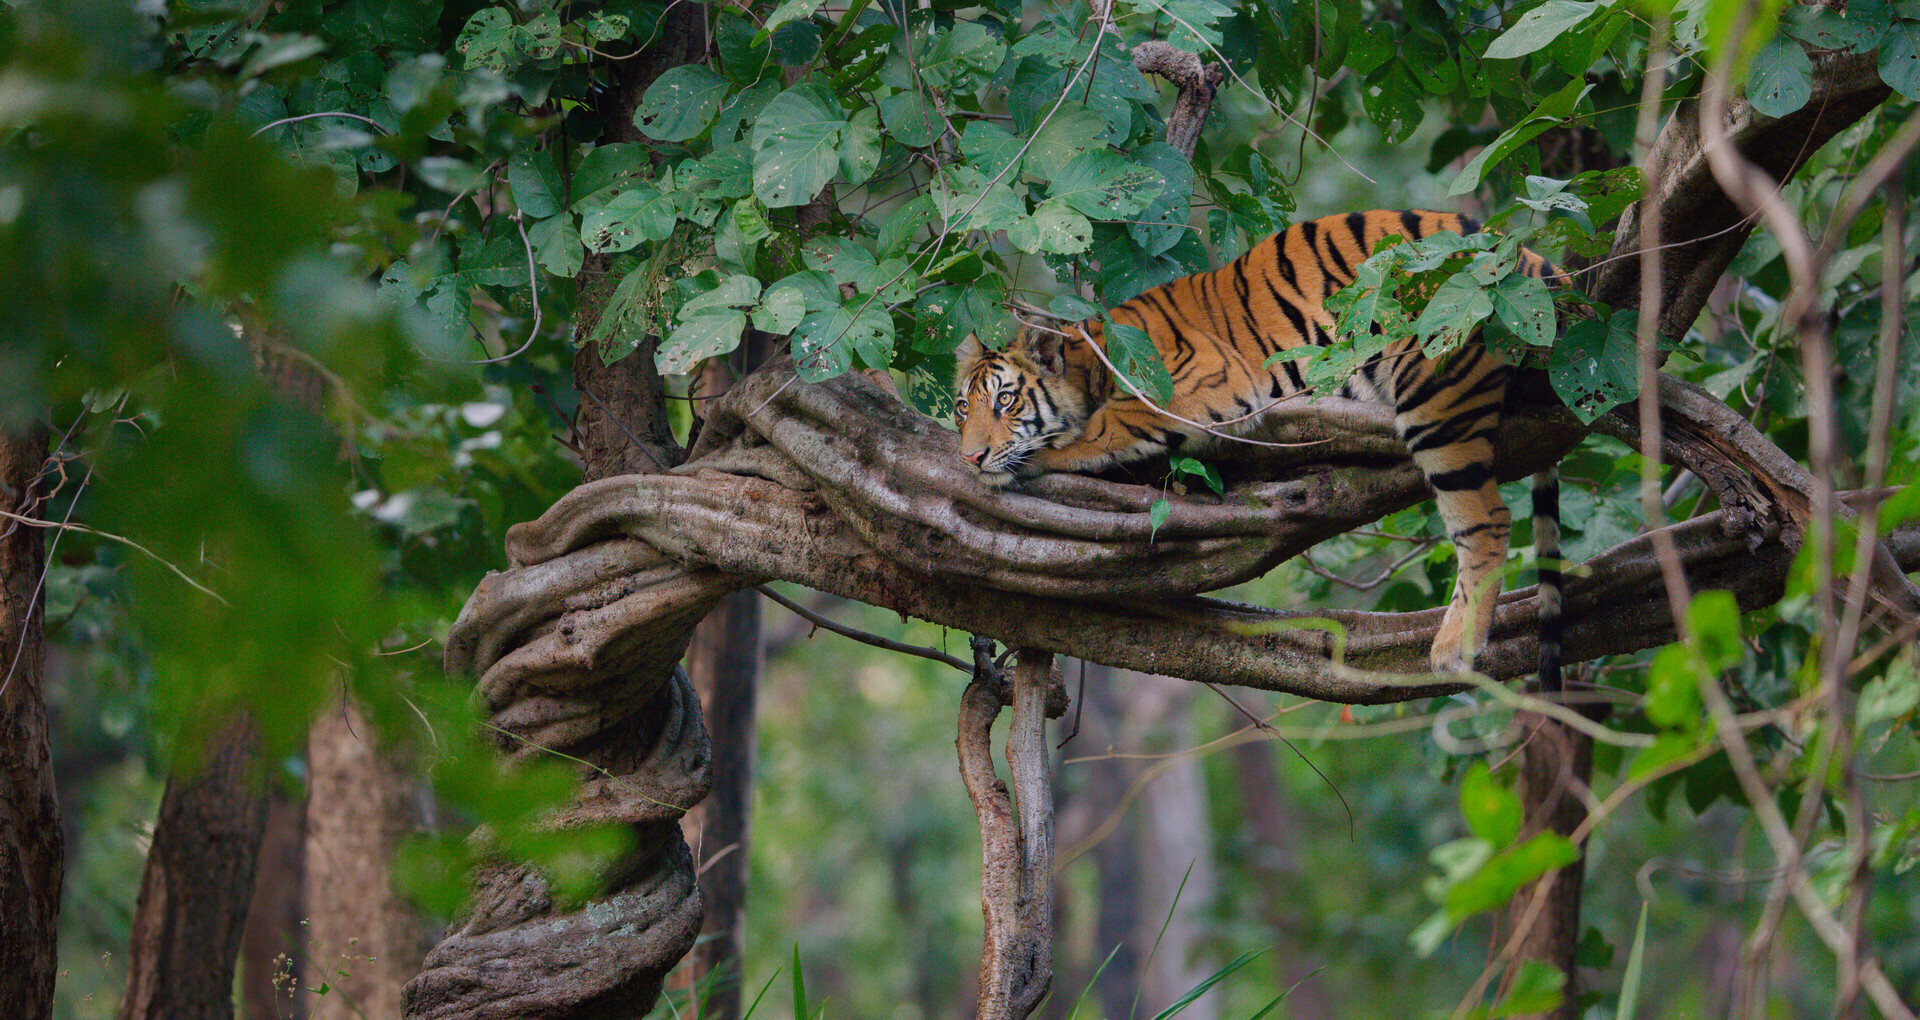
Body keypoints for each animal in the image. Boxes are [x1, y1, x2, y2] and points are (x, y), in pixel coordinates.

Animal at [954, 209, 1565, 684]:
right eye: (963, 408)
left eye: (1005, 400)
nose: (969, 457)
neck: (1092, 364)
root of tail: (1532, 260)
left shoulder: (1194, 380)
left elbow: (1104, 428)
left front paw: (1042, 454)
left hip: (1436, 394)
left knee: (1487, 518)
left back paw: (1454, 649)